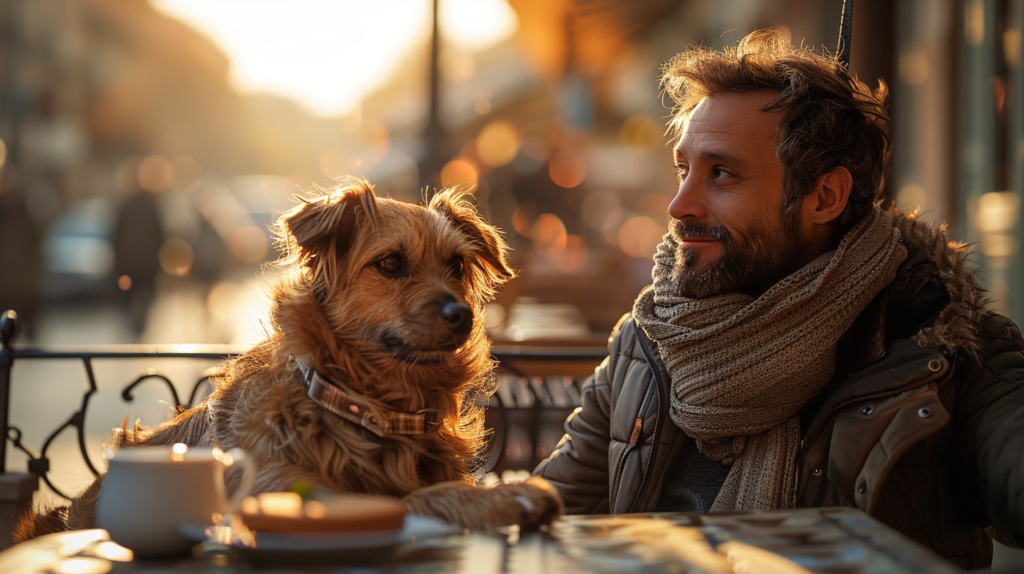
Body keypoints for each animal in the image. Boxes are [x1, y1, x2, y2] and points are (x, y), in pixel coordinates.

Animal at [14, 177, 561, 540]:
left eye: (457, 264)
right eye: (389, 263)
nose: (460, 315)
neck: (370, 410)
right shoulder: (285, 493)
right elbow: (408, 499)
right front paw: (501, 497)